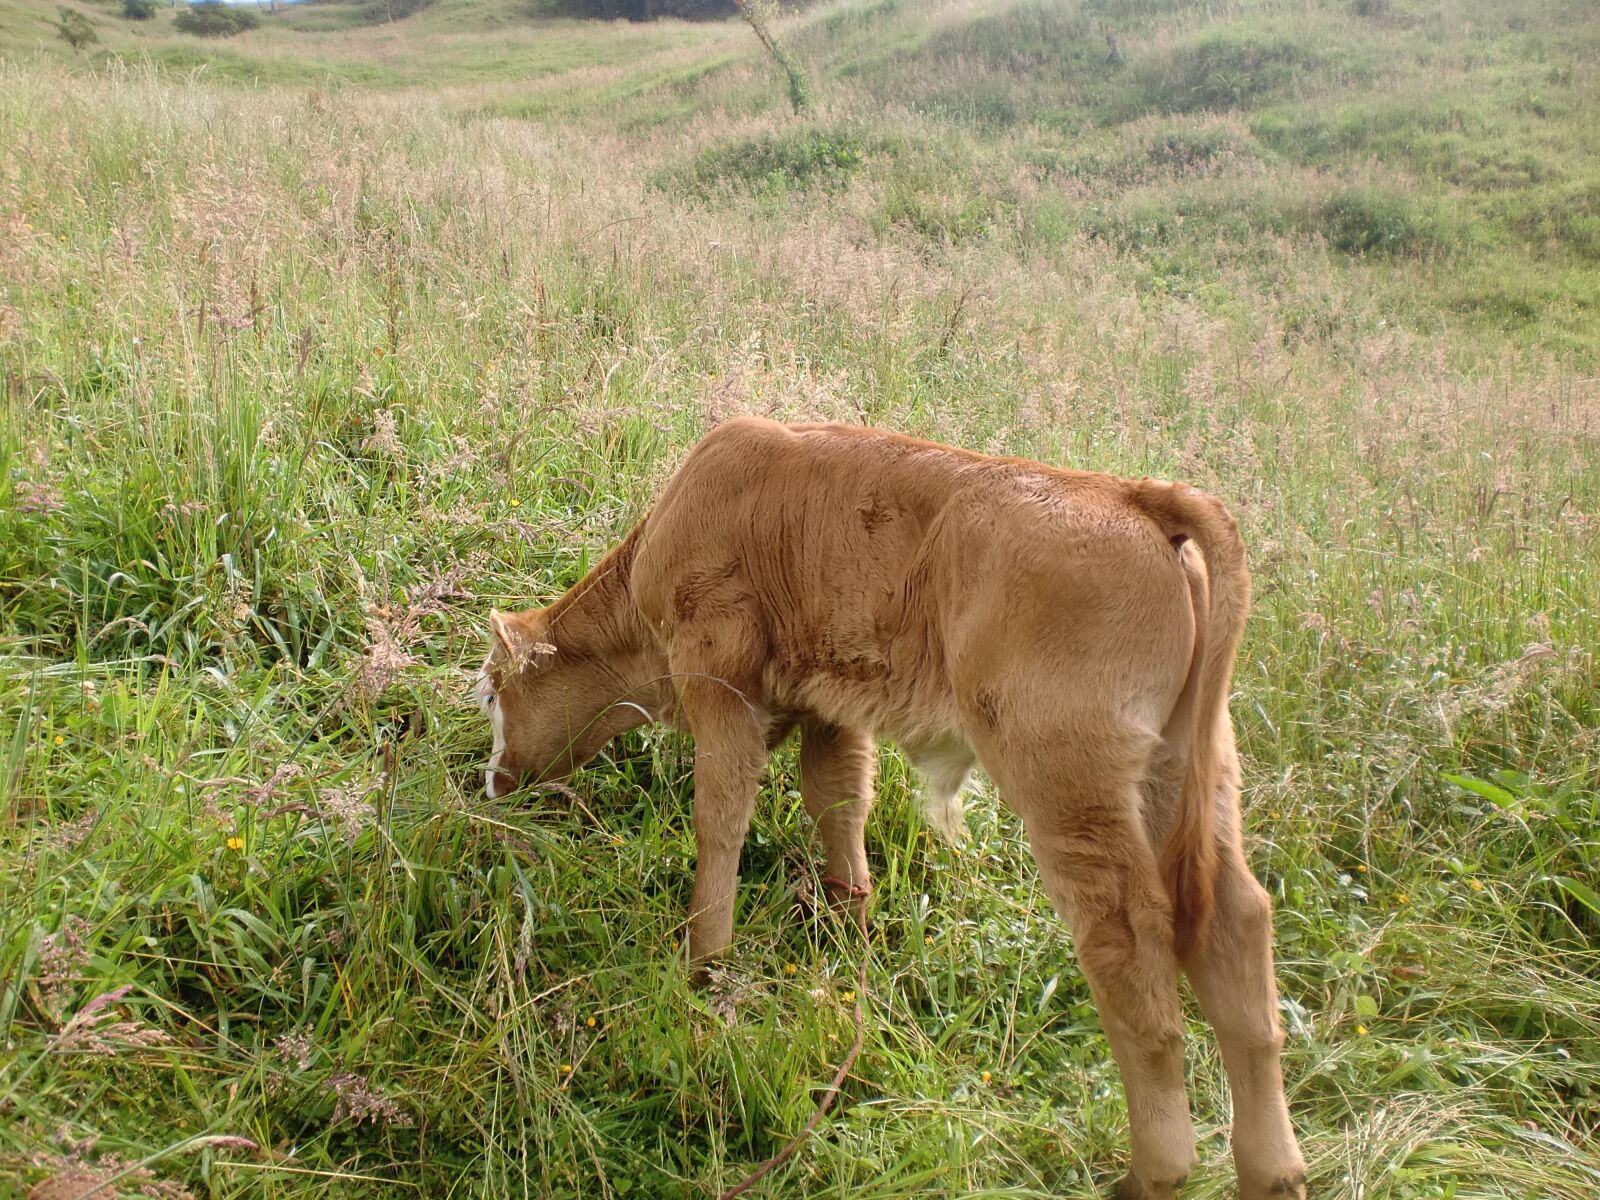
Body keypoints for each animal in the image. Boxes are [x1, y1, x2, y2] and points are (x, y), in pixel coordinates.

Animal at [476, 417, 1307, 1199]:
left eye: (490, 693)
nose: (491, 784)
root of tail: (1137, 496)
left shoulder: (721, 685)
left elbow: (720, 819)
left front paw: (703, 962)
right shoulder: (826, 706)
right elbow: (839, 803)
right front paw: (850, 931)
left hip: (1070, 785)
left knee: (1128, 944)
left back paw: (1152, 1173)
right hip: (1183, 775)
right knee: (1235, 927)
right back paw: (1271, 1172)